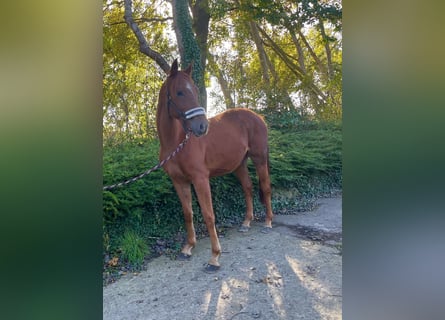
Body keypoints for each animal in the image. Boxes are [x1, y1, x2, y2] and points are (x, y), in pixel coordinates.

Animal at [158, 58, 272, 272]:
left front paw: (215, 256)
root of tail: (257, 117)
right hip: (239, 165)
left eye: (195, 90)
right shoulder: (179, 182)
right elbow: (188, 213)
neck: (176, 142)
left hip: (259, 159)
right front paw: (188, 247)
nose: (202, 127)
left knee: (266, 188)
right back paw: (246, 222)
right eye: (180, 92)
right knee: (248, 188)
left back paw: (268, 222)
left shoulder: (200, 179)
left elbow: (208, 214)